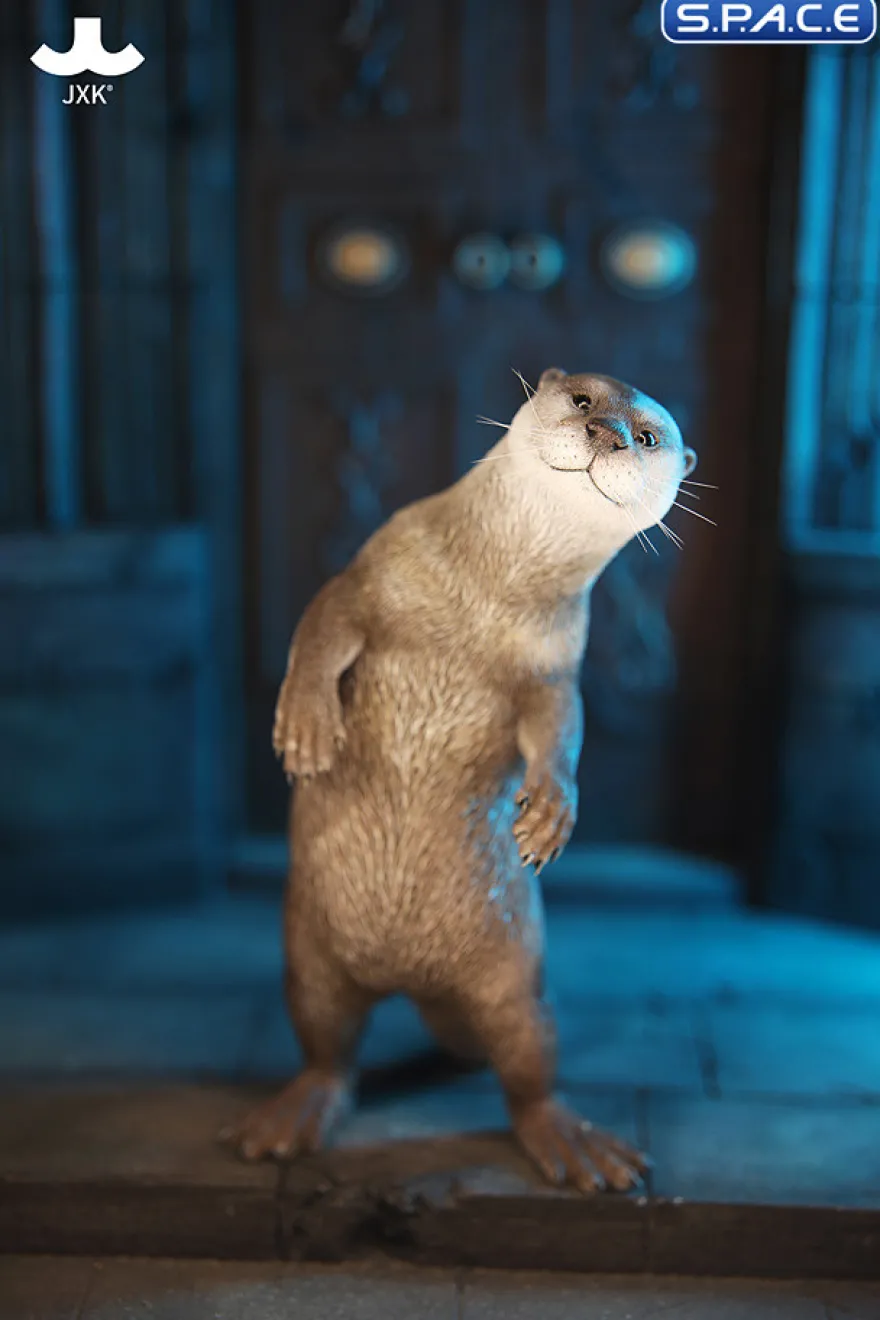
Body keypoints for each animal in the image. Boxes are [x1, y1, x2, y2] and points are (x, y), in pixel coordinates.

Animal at [222, 368, 697, 1193]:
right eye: (583, 400)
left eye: (646, 436)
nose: (606, 433)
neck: (486, 598)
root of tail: (414, 981)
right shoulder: (371, 572)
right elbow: (320, 626)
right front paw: (307, 727)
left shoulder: (553, 665)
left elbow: (561, 726)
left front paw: (550, 813)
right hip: (307, 959)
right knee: (328, 1050)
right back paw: (290, 1117)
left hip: (517, 980)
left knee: (529, 1068)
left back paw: (574, 1144)